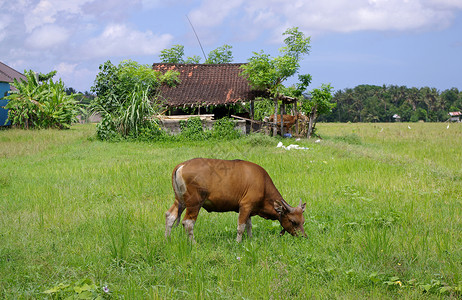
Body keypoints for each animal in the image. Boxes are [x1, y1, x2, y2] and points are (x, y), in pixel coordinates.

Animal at [163, 158, 306, 243]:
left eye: (303, 221)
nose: (304, 237)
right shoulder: (245, 206)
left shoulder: (250, 209)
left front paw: (250, 239)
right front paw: (238, 242)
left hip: (180, 200)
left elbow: (249, 225)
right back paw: (193, 243)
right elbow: (241, 227)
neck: (263, 184)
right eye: (293, 221)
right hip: (194, 203)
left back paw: (167, 239)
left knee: (170, 216)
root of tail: (183, 165)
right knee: (188, 223)